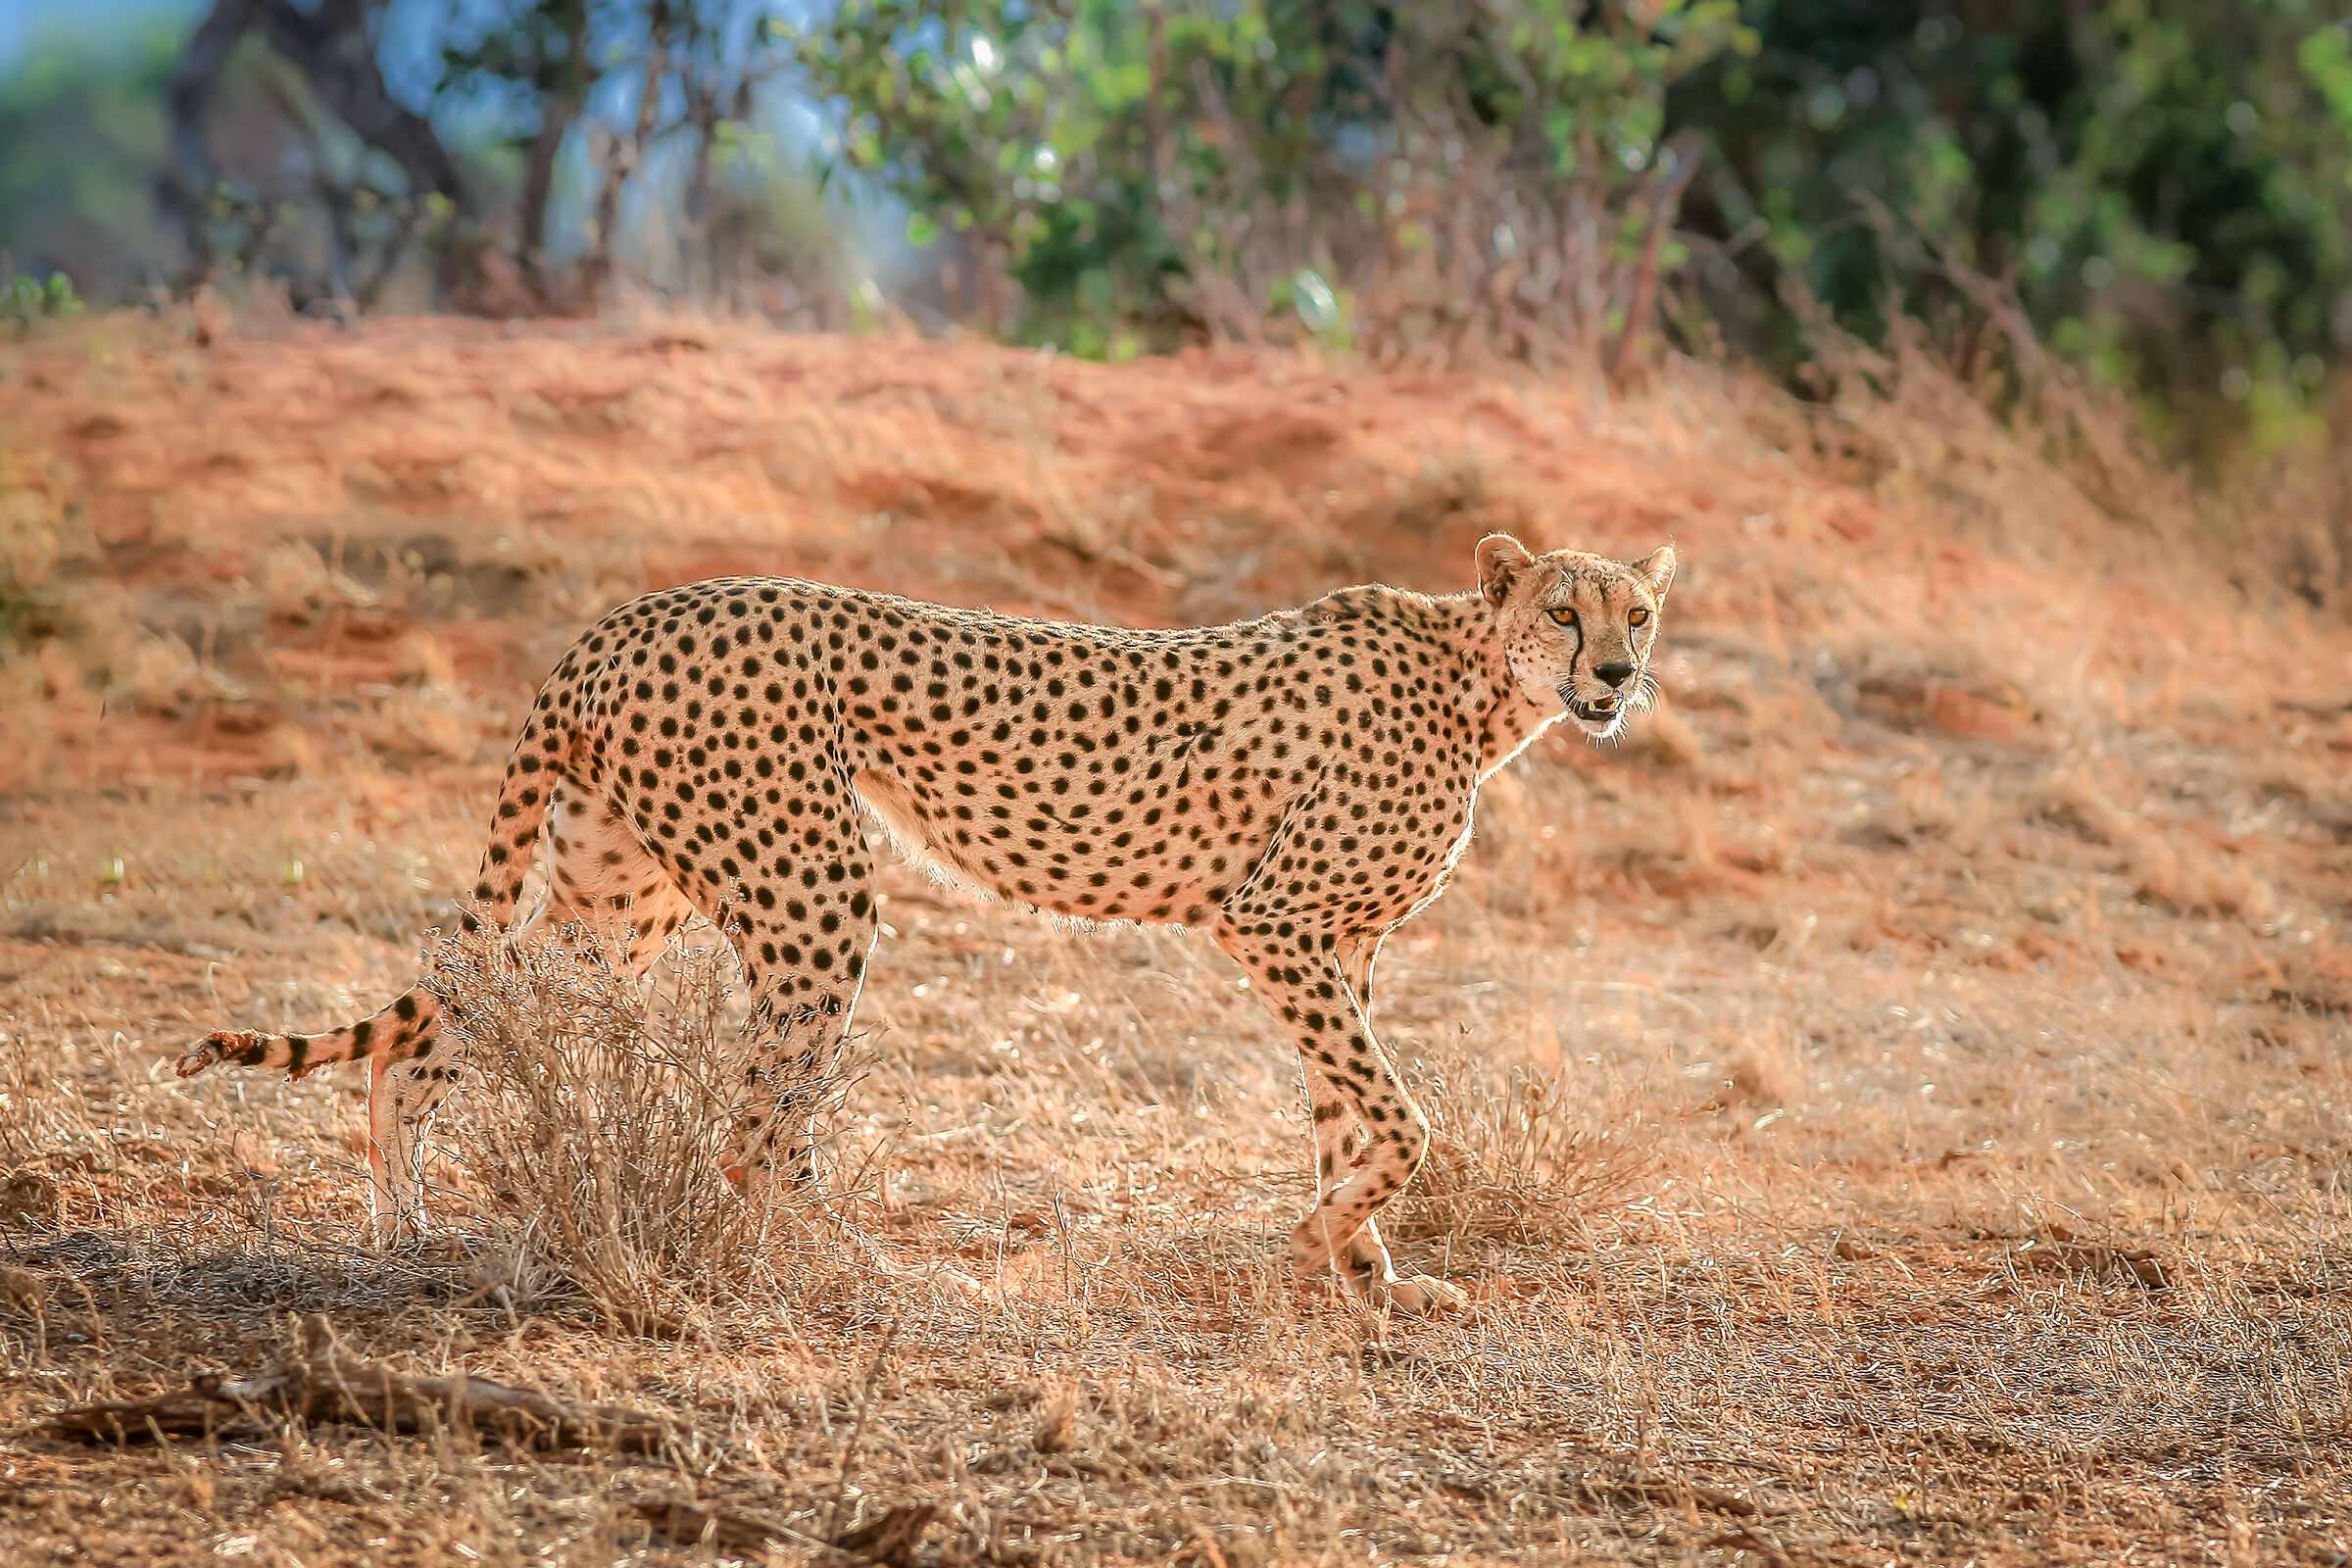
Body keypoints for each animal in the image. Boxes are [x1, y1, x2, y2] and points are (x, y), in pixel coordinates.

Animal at [176, 531, 1675, 1315]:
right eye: (1563, 608)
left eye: (1641, 612)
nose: (1613, 673)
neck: (1481, 688)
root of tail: (631, 614)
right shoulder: (1279, 923)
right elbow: (1405, 1117)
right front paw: (1326, 1253)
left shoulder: (1338, 943)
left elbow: (1344, 1116)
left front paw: (1363, 1275)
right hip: (811, 886)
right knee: (753, 1132)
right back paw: (872, 1272)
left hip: (622, 892)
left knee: (446, 1029)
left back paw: (404, 1227)